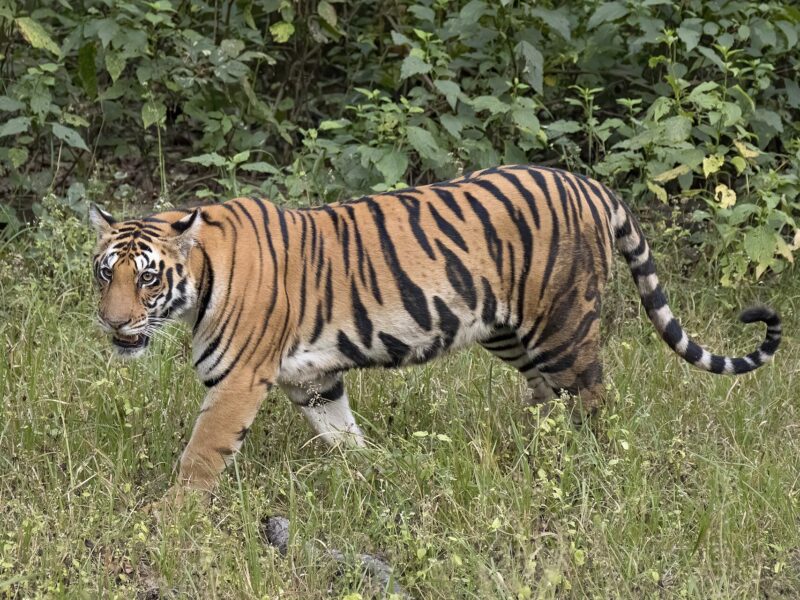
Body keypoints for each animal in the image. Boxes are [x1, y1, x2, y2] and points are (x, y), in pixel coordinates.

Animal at [89, 164, 781, 496]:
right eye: (104, 273)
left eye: (147, 278)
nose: (113, 322)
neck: (199, 282)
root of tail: (589, 184)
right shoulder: (312, 379)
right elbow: (342, 433)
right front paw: (373, 472)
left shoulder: (237, 382)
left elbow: (201, 455)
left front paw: (173, 518)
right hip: (511, 332)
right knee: (547, 398)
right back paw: (532, 454)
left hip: (563, 327)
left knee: (591, 400)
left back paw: (586, 466)